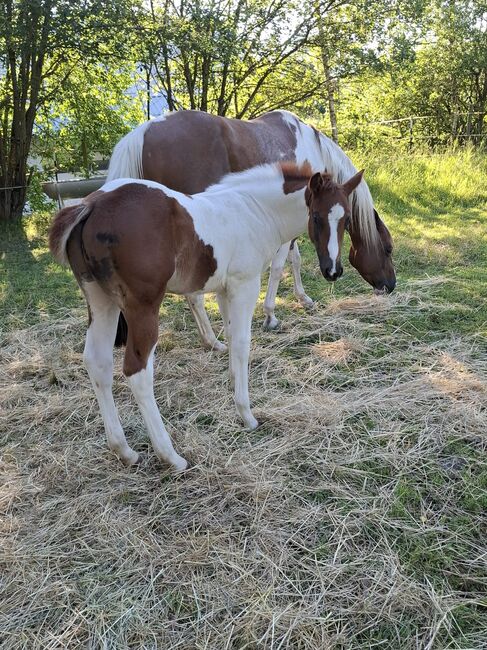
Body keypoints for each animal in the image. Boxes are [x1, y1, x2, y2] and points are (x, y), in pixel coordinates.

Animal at [50, 161, 362, 466]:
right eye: (317, 217)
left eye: (347, 219)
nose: (333, 270)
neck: (255, 211)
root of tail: (92, 204)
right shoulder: (245, 284)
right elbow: (242, 343)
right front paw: (246, 414)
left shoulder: (225, 290)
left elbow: (230, 333)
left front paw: (233, 381)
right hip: (142, 306)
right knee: (136, 371)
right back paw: (171, 456)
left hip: (101, 300)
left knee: (97, 362)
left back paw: (124, 450)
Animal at [107, 110, 396, 350]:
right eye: (388, 249)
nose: (391, 285)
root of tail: (142, 132)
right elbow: (279, 267)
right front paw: (270, 315)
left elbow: (295, 259)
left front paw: (303, 298)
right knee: (194, 295)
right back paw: (213, 341)